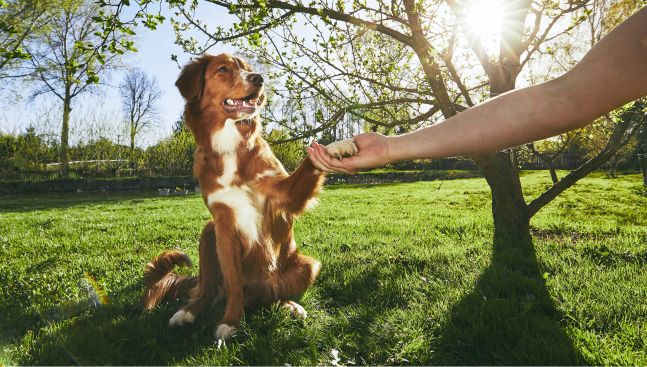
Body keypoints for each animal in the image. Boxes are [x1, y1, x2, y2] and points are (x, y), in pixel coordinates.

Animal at [140, 54, 360, 342]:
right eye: (223, 69)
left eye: (247, 68)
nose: (259, 78)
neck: (230, 145)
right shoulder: (224, 225)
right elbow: (234, 284)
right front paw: (231, 322)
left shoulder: (285, 195)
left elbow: (310, 160)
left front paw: (336, 147)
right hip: (208, 233)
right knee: (210, 291)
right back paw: (188, 312)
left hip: (307, 266)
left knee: (268, 295)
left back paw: (289, 306)